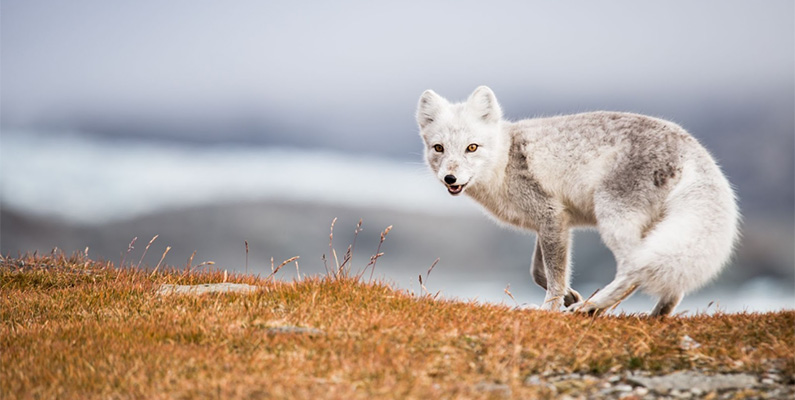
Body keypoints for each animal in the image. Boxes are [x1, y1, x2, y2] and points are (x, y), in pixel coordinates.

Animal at [420, 86, 736, 316]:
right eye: (439, 148)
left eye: (472, 147)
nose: (450, 178)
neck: (505, 159)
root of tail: (691, 147)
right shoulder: (555, 222)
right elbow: (539, 272)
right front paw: (570, 296)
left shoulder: (550, 216)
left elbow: (553, 274)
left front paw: (549, 309)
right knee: (672, 281)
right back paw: (654, 317)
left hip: (614, 219)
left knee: (634, 269)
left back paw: (593, 307)